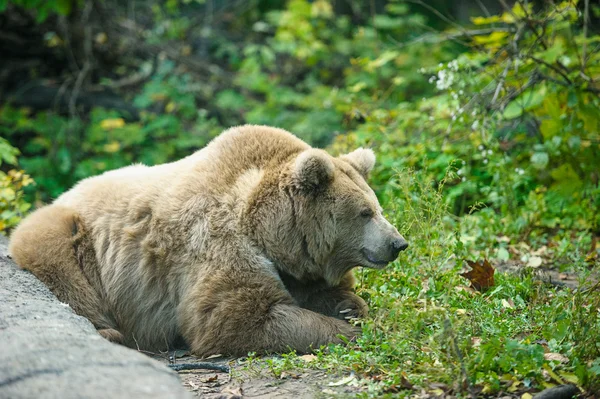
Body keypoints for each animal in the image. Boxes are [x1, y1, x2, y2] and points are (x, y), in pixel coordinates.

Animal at [8, 125, 408, 356]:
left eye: (377, 206)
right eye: (365, 213)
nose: (398, 244)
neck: (270, 232)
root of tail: (65, 193)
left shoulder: (297, 268)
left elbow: (328, 294)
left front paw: (351, 308)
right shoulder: (216, 245)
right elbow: (235, 319)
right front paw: (349, 331)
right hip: (71, 238)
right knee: (65, 271)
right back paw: (110, 332)